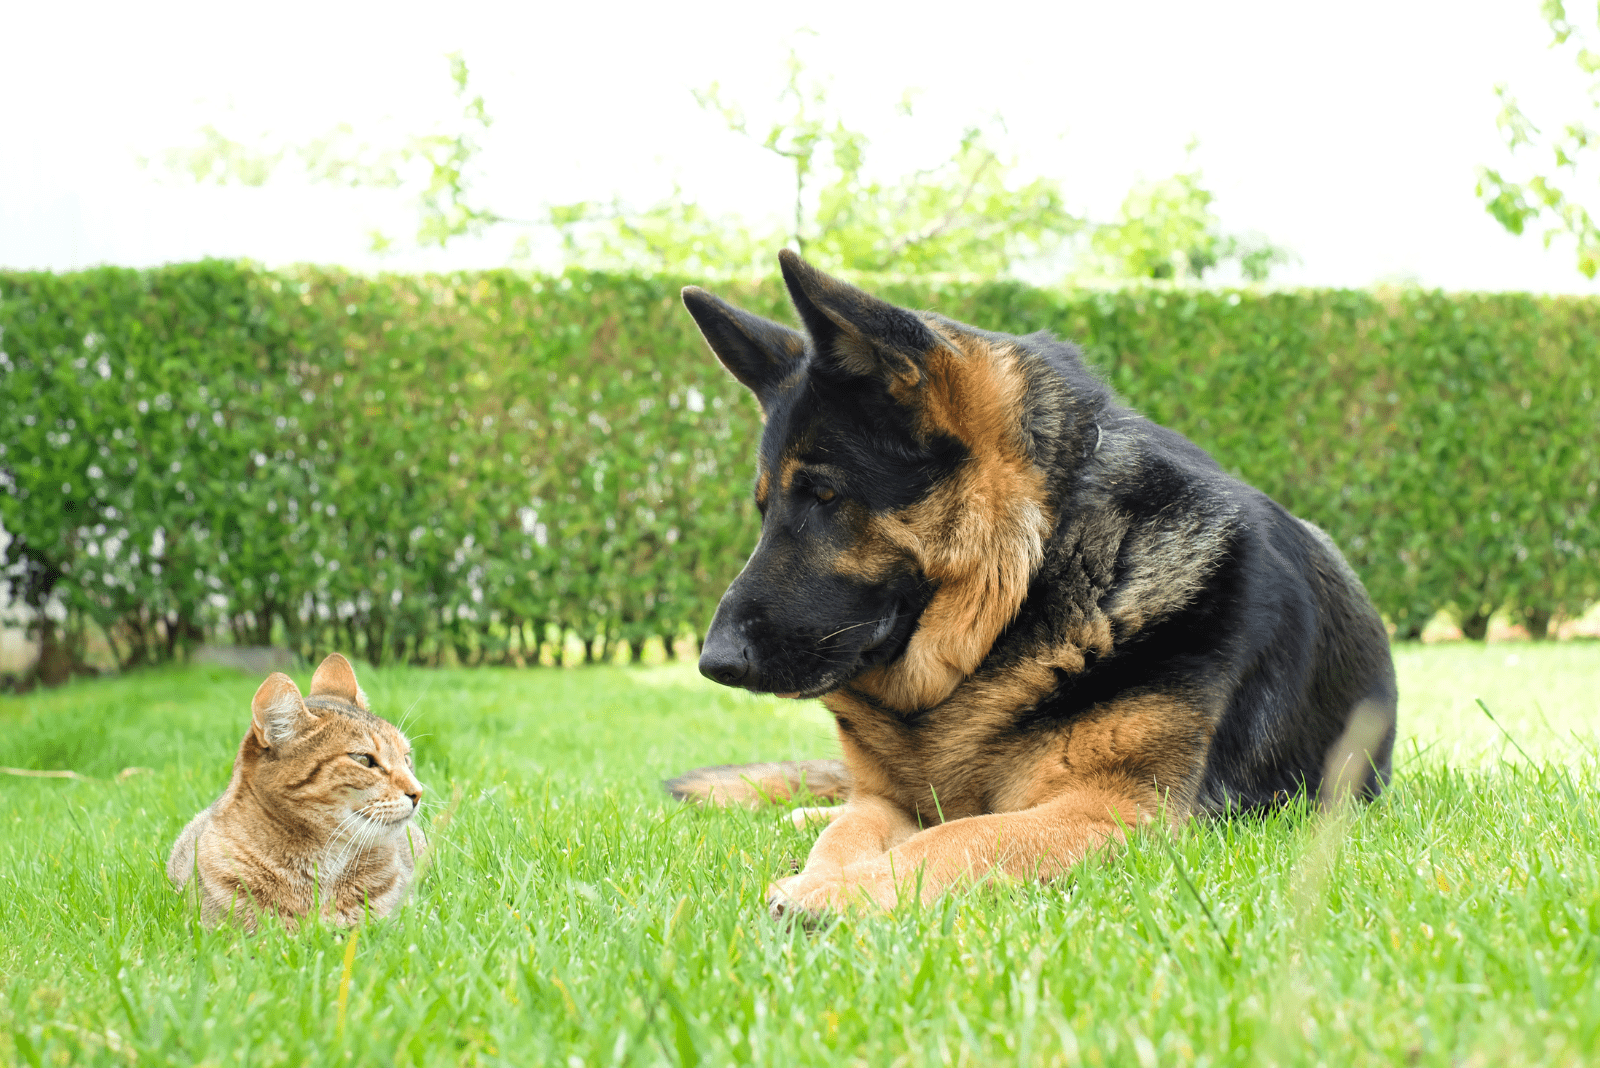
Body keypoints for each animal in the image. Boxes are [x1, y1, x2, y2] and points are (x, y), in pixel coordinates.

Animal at [668, 252, 1395, 920]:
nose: (713, 662)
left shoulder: (1110, 808)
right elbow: (850, 831)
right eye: (765, 508)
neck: (1040, 575)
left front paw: (843, 890)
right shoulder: (886, 801)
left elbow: (960, 836)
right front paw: (826, 871)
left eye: (823, 494)